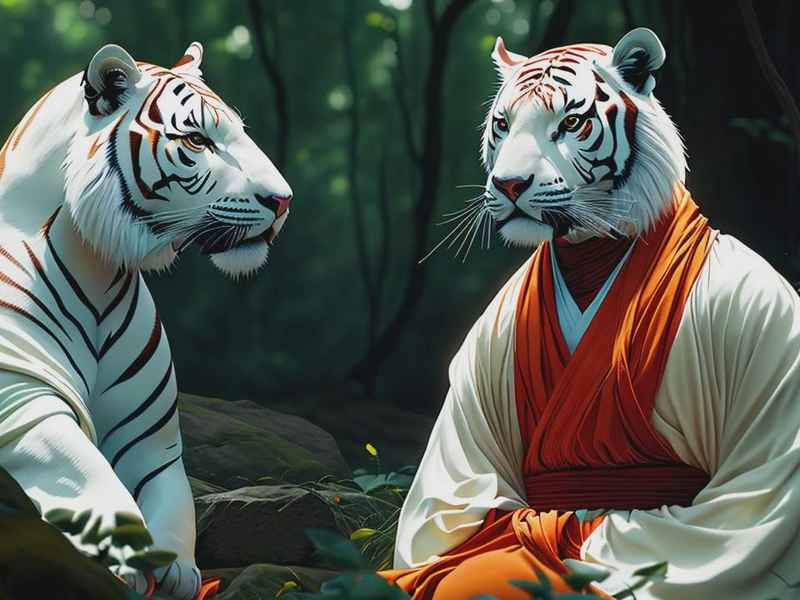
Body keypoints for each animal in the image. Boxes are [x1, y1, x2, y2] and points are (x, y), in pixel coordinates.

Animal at [0, 42, 291, 599]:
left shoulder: (152, 435)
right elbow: (86, 471)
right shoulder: (26, 402)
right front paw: (129, 558)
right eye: (198, 139)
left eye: (242, 133)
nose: (283, 200)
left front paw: (176, 566)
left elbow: (175, 502)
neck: (97, 269)